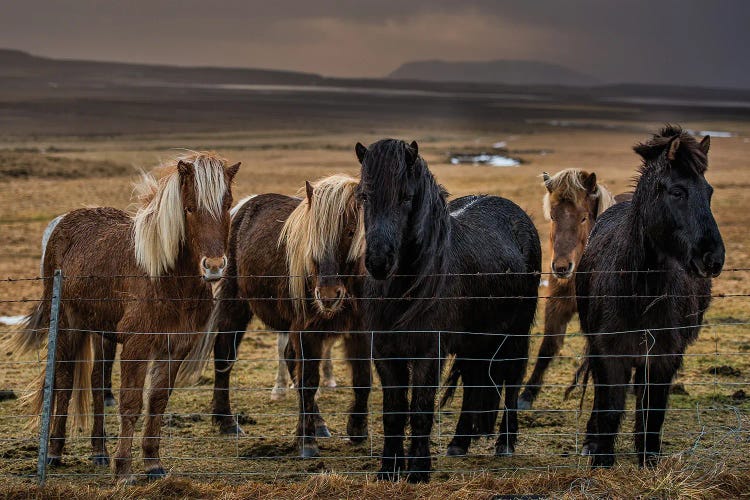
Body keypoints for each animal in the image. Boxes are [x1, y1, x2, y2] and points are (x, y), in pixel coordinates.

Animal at [9, 151, 244, 480]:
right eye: (189, 208)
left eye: (226, 206)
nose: (213, 266)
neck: (168, 280)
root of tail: (64, 222)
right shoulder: (137, 345)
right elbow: (131, 402)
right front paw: (124, 470)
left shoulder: (175, 347)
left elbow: (157, 401)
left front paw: (153, 464)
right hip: (69, 328)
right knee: (64, 381)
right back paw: (54, 452)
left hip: (101, 332)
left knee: (96, 382)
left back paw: (99, 451)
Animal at [209, 175, 374, 458]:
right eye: (311, 237)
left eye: (351, 232)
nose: (327, 295)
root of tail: (241, 207)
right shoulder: (307, 329)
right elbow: (308, 380)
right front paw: (306, 442)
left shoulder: (361, 329)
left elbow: (362, 377)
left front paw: (357, 429)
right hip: (234, 304)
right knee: (224, 354)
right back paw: (227, 422)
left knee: (288, 359)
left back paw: (319, 423)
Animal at [356, 139, 540, 482]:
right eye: (363, 196)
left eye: (406, 197)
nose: (378, 262)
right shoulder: (385, 352)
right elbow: (393, 412)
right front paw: (388, 470)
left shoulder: (430, 352)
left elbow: (421, 409)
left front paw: (418, 471)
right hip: (476, 341)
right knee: (473, 382)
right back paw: (459, 443)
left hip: (515, 335)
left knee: (511, 381)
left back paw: (505, 443)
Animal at [520, 170, 620, 408]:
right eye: (553, 216)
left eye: (583, 218)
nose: (561, 267)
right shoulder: (557, 304)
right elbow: (548, 346)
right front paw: (527, 394)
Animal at [580, 126, 724, 468]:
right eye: (677, 192)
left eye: (709, 192)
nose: (713, 259)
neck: (640, 293)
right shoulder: (609, 352)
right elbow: (610, 406)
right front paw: (601, 459)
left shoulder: (663, 356)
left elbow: (652, 412)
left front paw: (648, 460)